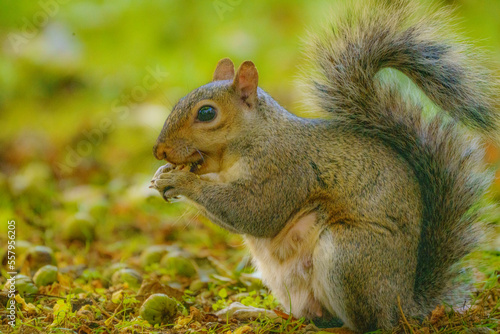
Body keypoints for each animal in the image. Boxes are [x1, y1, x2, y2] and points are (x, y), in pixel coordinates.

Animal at [147, 0, 496, 332]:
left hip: (348, 257)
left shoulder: (286, 168)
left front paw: (181, 183)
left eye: (206, 113)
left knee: (366, 324)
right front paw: (162, 176)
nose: (159, 150)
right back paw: (254, 312)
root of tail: (405, 304)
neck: (254, 138)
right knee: (307, 316)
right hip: (289, 281)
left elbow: (256, 212)